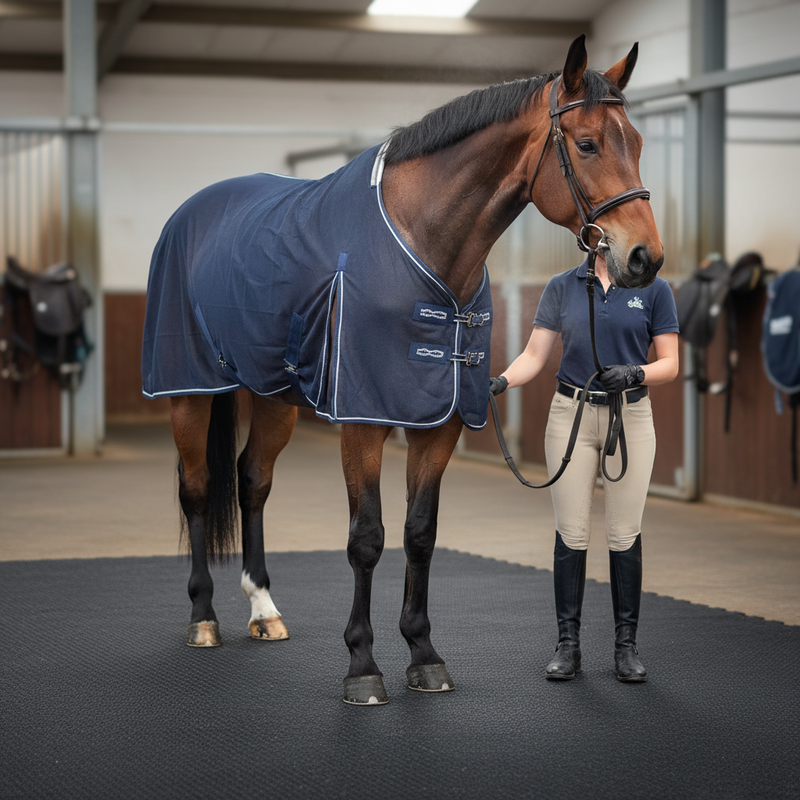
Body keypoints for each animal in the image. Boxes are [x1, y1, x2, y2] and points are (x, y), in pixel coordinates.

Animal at [142, 35, 664, 706]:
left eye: (638, 143)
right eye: (588, 143)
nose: (645, 258)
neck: (427, 240)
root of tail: (193, 211)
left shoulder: (439, 421)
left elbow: (420, 532)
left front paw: (423, 655)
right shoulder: (363, 418)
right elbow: (367, 537)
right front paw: (363, 667)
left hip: (275, 396)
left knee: (252, 481)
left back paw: (263, 610)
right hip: (190, 390)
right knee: (199, 489)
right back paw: (203, 619)